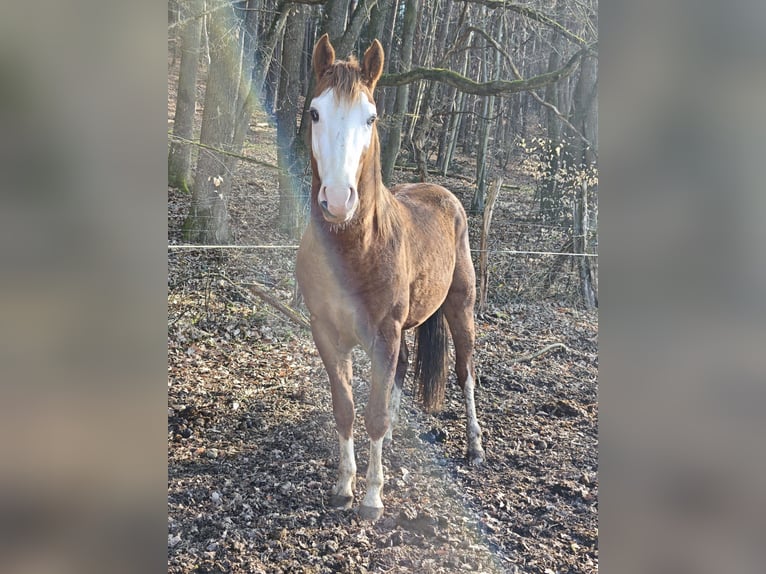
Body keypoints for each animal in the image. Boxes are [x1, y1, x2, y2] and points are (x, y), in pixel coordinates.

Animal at [296, 34, 485, 521]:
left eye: (371, 116)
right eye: (315, 112)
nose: (338, 200)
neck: (356, 250)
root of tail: (441, 191)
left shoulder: (385, 332)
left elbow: (375, 412)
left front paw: (373, 498)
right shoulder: (327, 333)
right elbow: (346, 408)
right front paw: (344, 487)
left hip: (461, 309)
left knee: (465, 372)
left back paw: (475, 446)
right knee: (401, 372)